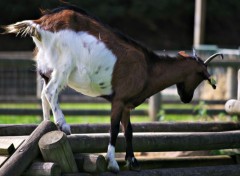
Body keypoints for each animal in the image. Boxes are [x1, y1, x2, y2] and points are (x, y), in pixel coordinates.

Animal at [2, 5, 223, 173]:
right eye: (201, 76)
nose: (186, 98)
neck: (148, 68)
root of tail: (39, 25)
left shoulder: (126, 104)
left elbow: (129, 130)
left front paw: (133, 162)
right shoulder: (118, 100)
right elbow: (114, 128)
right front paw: (113, 163)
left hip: (45, 67)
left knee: (43, 94)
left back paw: (46, 125)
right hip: (63, 65)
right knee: (50, 91)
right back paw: (63, 125)